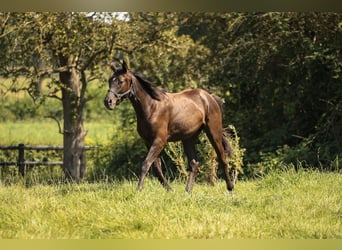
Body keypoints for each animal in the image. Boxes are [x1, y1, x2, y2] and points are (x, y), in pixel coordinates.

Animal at [103, 60, 234, 193]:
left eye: (120, 81)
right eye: (110, 80)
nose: (108, 102)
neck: (152, 107)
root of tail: (210, 97)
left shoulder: (159, 141)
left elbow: (145, 164)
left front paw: (139, 189)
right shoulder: (148, 142)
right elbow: (156, 168)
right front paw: (170, 189)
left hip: (213, 132)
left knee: (222, 158)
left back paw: (230, 188)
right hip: (188, 138)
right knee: (194, 163)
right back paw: (187, 191)